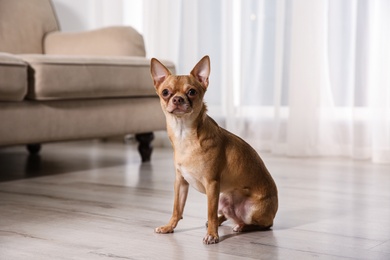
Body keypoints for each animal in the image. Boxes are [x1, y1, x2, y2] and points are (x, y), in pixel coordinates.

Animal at [149, 55, 278, 245]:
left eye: (192, 92)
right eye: (165, 92)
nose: (178, 99)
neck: (184, 134)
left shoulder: (212, 184)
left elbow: (209, 211)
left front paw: (212, 235)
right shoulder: (181, 182)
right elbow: (177, 208)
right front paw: (169, 227)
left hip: (250, 209)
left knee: (264, 225)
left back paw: (241, 226)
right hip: (224, 198)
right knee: (227, 214)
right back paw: (222, 220)